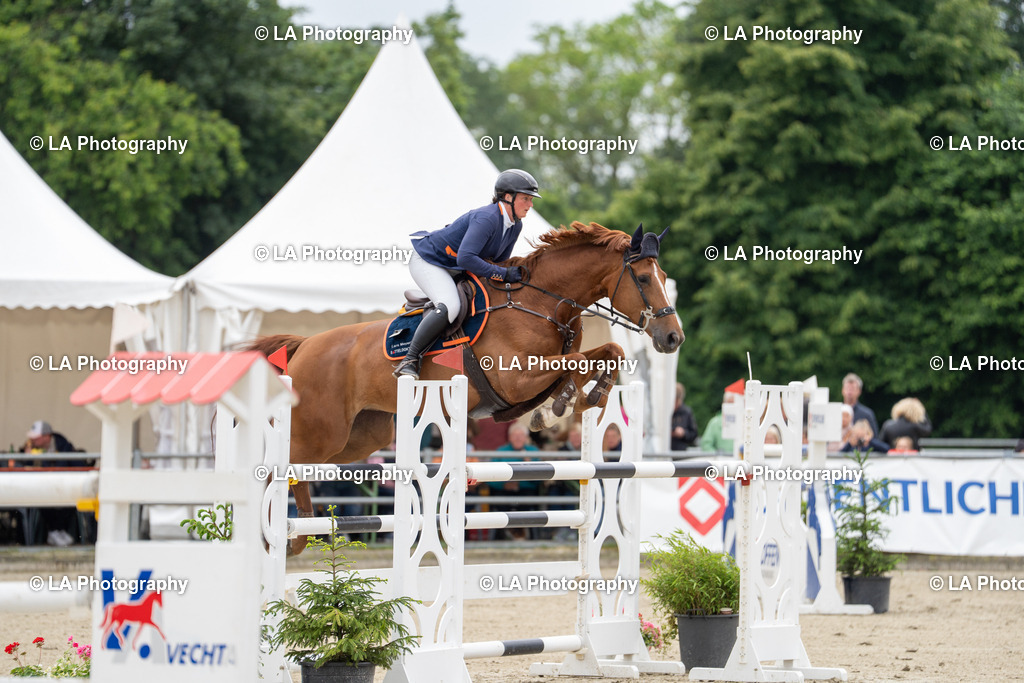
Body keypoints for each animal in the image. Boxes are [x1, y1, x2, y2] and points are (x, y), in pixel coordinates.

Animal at [245, 222, 683, 554]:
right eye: (644, 278)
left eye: (665, 278)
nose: (673, 338)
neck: (543, 304)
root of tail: (304, 345)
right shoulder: (516, 378)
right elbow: (574, 363)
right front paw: (563, 404)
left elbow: (605, 353)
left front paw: (577, 400)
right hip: (322, 431)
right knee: (278, 466)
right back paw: (276, 531)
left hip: (360, 437)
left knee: (299, 468)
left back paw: (298, 533)